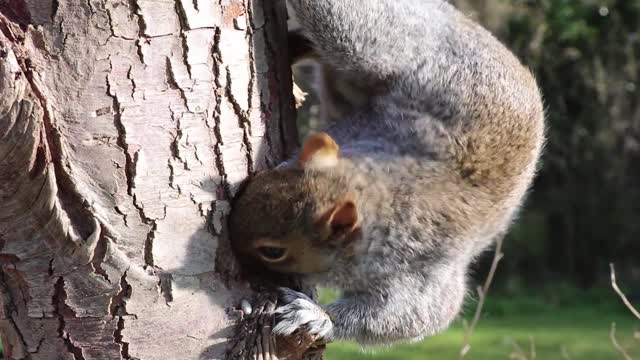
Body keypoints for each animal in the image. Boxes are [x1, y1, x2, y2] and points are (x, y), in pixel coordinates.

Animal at [228, 0, 544, 346]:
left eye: (273, 251)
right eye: (271, 172)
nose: (229, 241)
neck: (385, 192)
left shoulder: (420, 271)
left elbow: (411, 316)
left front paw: (316, 316)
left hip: (378, 45)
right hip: (372, 46)